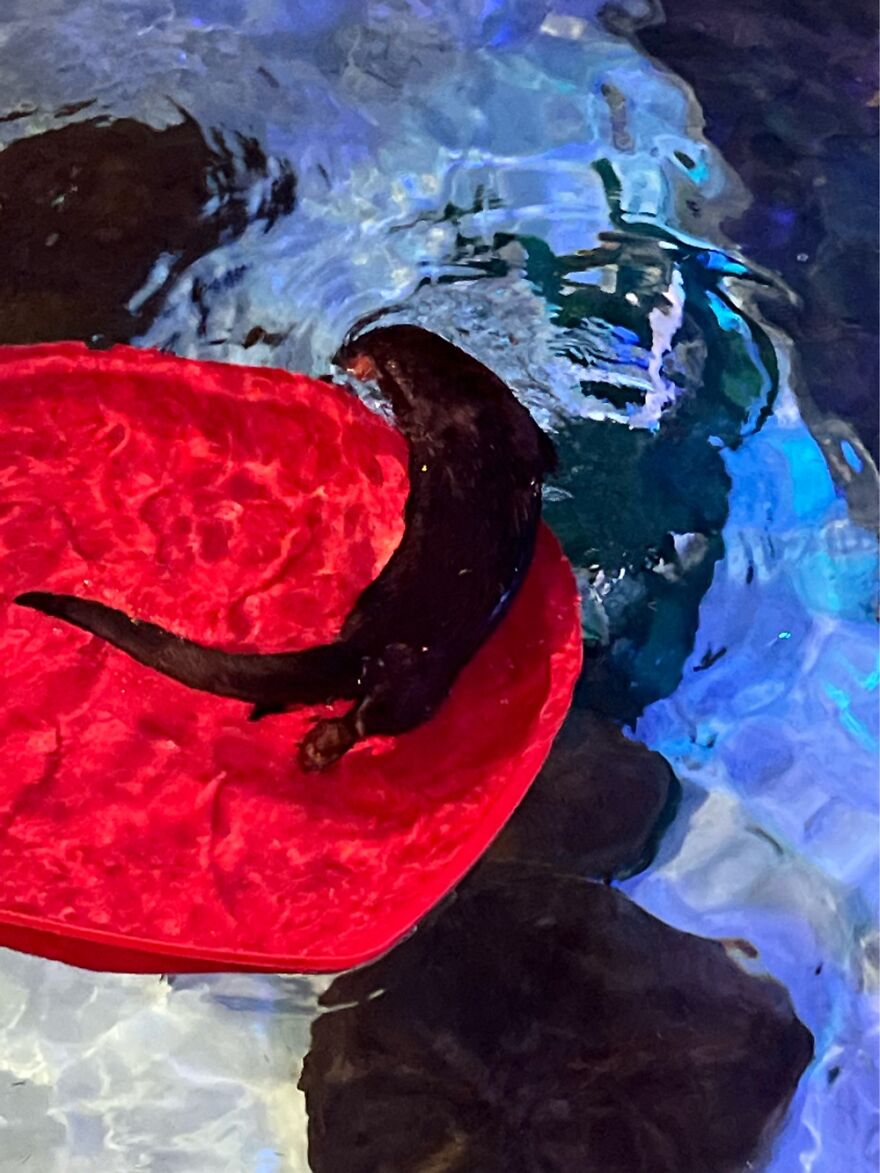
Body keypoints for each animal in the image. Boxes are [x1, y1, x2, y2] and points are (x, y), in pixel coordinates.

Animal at [16, 325, 556, 770]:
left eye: (360, 346)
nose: (339, 353)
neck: (460, 397)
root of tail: (367, 638)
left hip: (419, 678)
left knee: (370, 715)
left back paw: (315, 745)